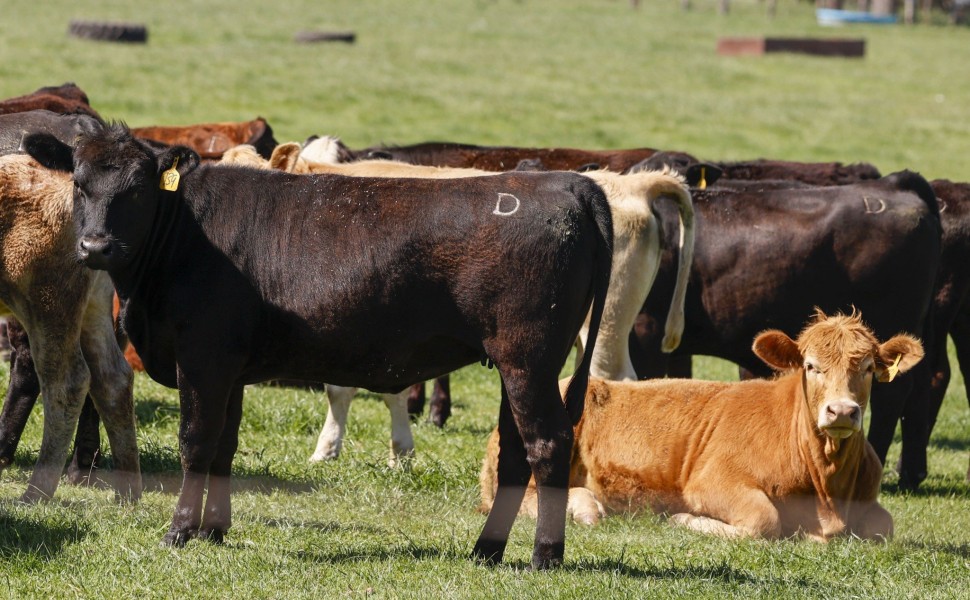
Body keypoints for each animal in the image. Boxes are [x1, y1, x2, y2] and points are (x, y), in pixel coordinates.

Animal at [26, 123, 612, 572]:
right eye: (79, 184)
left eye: (138, 188)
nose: (95, 246)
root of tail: (566, 184)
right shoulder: (231, 367)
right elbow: (224, 446)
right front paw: (214, 530)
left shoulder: (202, 359)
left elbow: (196, 443)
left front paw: (180, 530)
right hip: (518, 364)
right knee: (514, 450)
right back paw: (485, 550)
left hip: (528, 359)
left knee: (547, 444)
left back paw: (544, 555)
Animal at [223, 143, 692, 466]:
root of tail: (629, 185)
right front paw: (400, 451)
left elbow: (345, 388)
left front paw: (331, 449)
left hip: (604, 327)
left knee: (615, 381)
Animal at [480, 312, 920, 540]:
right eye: (811, 366)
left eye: (868, 368)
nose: (842, 411)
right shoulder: (711, 482)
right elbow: (763, 520)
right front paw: (684, 520)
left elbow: (885, 524)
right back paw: (585, 507)